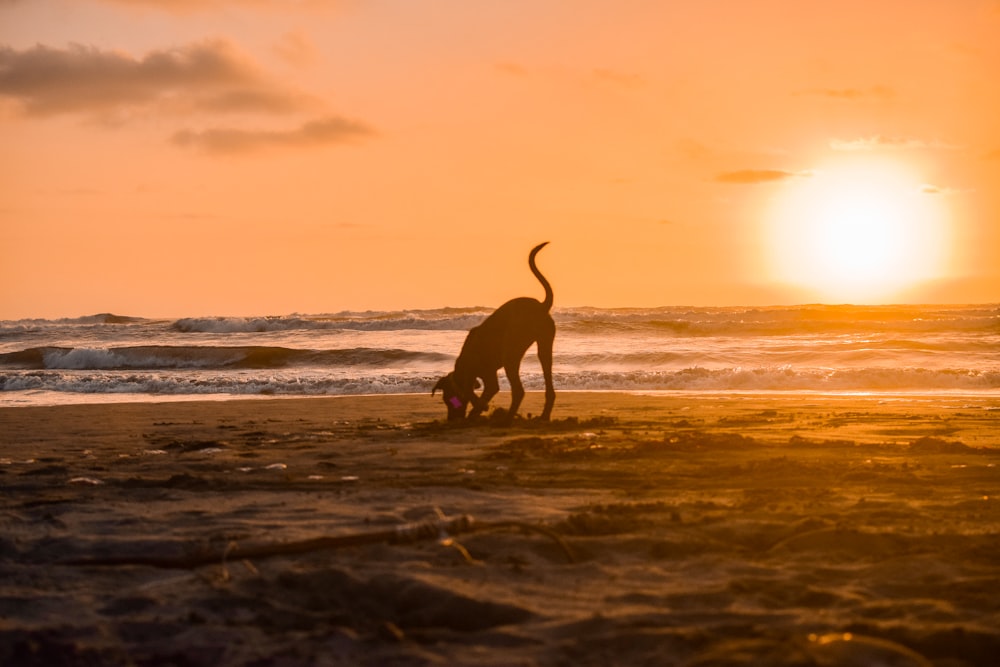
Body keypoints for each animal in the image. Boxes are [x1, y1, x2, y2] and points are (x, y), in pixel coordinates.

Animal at [432, 243, 556, 422]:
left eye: (448, 400)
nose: (451, 420)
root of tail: (541, 306)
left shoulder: (476, 373)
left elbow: (473, 391)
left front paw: (478, 408)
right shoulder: (487, 375)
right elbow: (487, 390)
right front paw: (476, 412)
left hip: (511, 351)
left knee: (518, 390)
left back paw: (508, 418)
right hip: (544, 343)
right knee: (547, 376)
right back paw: (544, 415)